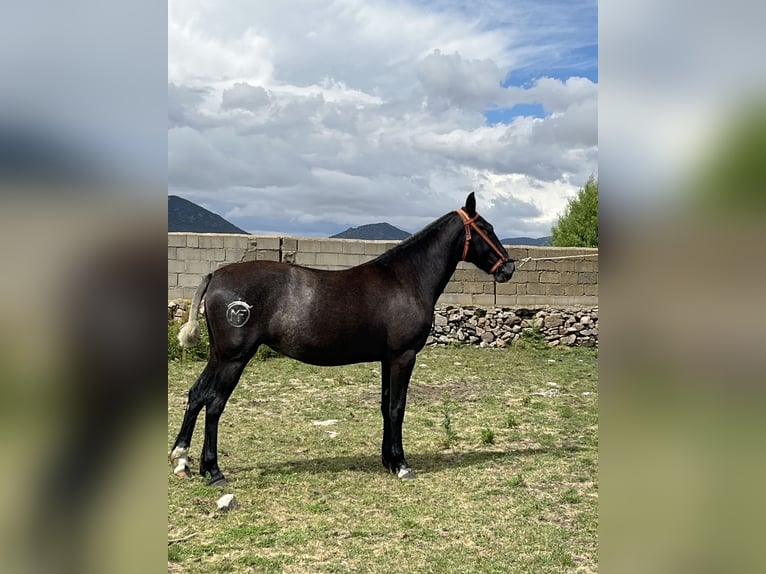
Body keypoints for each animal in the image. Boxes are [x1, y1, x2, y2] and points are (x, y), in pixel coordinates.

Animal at [168, 194, 516, 486]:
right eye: (486, 228)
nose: (509, 267)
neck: (406, 279)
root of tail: (216, 276)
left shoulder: (388, 359)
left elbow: (385, 405)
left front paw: (389, 461)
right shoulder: (403, 356)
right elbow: (397, 408)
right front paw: (402, 465)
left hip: (218, 356)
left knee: (197, 395)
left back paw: (183, 460)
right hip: (234, 359)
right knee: (214, 403)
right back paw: (213, 471)